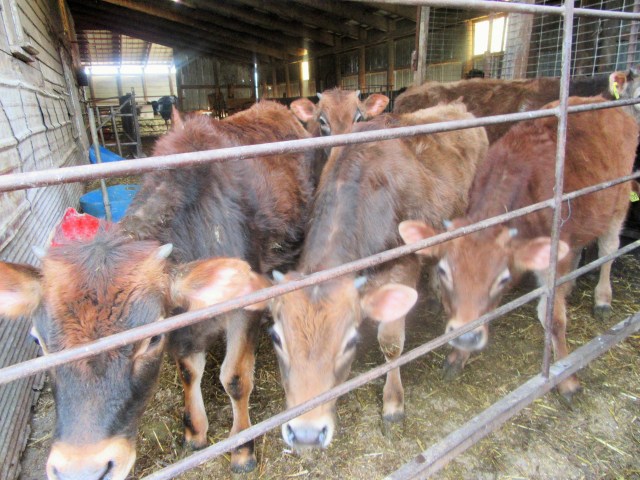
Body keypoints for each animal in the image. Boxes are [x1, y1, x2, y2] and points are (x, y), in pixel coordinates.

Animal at [0, 100, 315, 479]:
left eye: (150, 339)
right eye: (38, 341)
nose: (83, 469)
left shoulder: (244, 307)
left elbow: (236, 378)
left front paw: (241, 447)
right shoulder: (181, 321)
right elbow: (189, 370)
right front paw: (195, 431)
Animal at [266, 101, 488, 450]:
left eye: (350, 341)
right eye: (276, 338)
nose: (306, 434)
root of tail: (457, 106)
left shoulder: (402, 268)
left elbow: (392, 343)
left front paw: (393, 404)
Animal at [399, 96, 639, 402]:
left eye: (502, 279)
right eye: (444, 273)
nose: (466, 337)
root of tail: (597, 100)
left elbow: (553, 317)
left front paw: (566, 379)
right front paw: (458, 357)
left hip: (620, 198)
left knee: (608, 250)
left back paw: (603, 298)